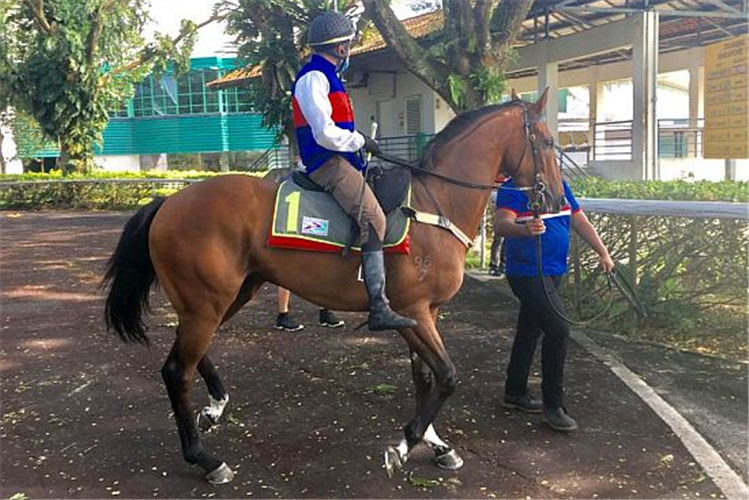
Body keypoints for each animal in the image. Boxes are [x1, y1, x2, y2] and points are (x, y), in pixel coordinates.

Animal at [103, 90, 560, 484]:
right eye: (547, 141)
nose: (555, 200)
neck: (435, 203)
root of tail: (169, 202)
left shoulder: (426, 312)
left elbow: (425, 379)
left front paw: (436, 444)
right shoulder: (411, 311)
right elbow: (446, 376)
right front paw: (403, 445)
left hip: (226, 297)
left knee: (187, 356)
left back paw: (215, 408)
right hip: (207, 304)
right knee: (177, 370)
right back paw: (206, 459)